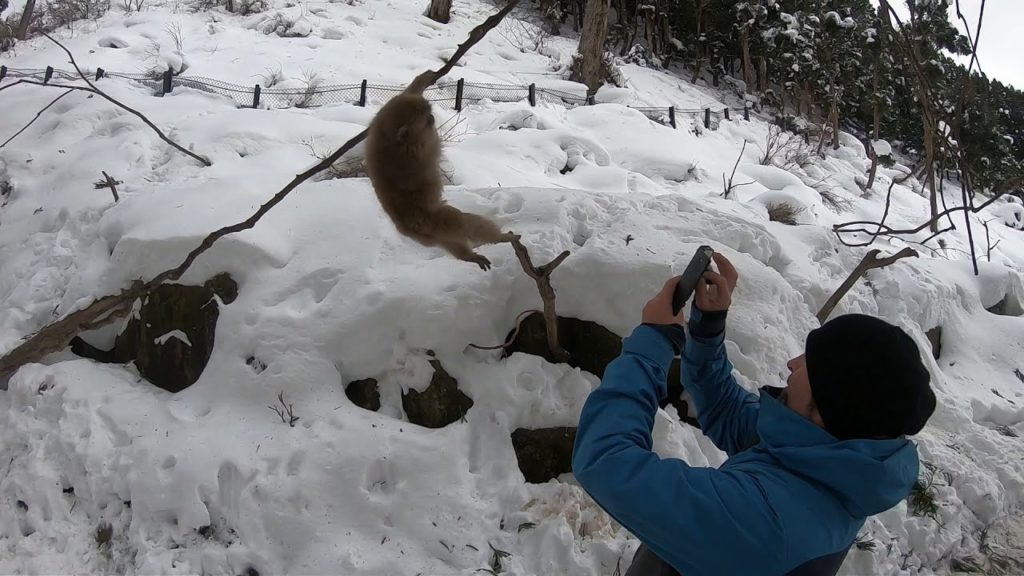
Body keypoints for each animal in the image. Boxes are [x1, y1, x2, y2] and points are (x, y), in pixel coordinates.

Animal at [364, 91, 516, 270]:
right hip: (444, 222)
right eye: (424, 118)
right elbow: (434, 145)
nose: (431, 116)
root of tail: (412, 227)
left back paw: (468, 256)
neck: (391, 142)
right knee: (467, 223)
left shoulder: (377, 134)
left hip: (433, 236)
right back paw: (500, 237)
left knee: (454, 244)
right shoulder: (420, 146)